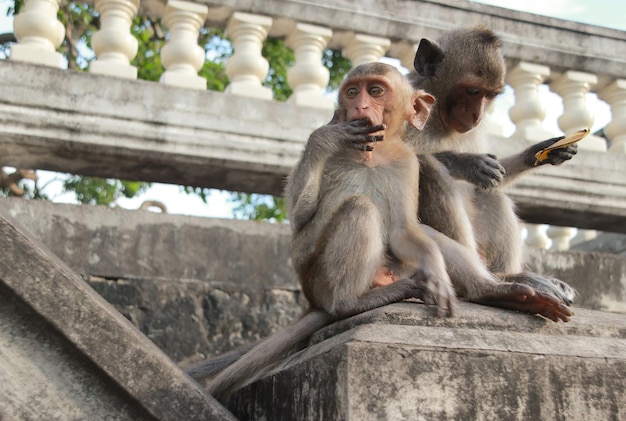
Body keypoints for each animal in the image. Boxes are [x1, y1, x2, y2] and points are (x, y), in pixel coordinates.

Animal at [202, 62, 456, 400]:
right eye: (352, 91)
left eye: (375, 91)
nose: (359, 106)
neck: (371, 153)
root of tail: (313, 300)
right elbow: (299, 218)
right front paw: (326, 135)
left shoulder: (406, 161)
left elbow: (402, 231)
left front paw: (436, 271)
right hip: (318, 276)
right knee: (359, 207)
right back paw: (349, 303)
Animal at [404, 25, 576, 318]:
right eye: (473, 91)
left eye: (490, 95)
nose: (477, 115)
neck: (437, 113)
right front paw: (467, 163)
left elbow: (499, 175)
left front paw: (540, 152)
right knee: (429, 169)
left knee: (491, 194)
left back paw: (507, 274)